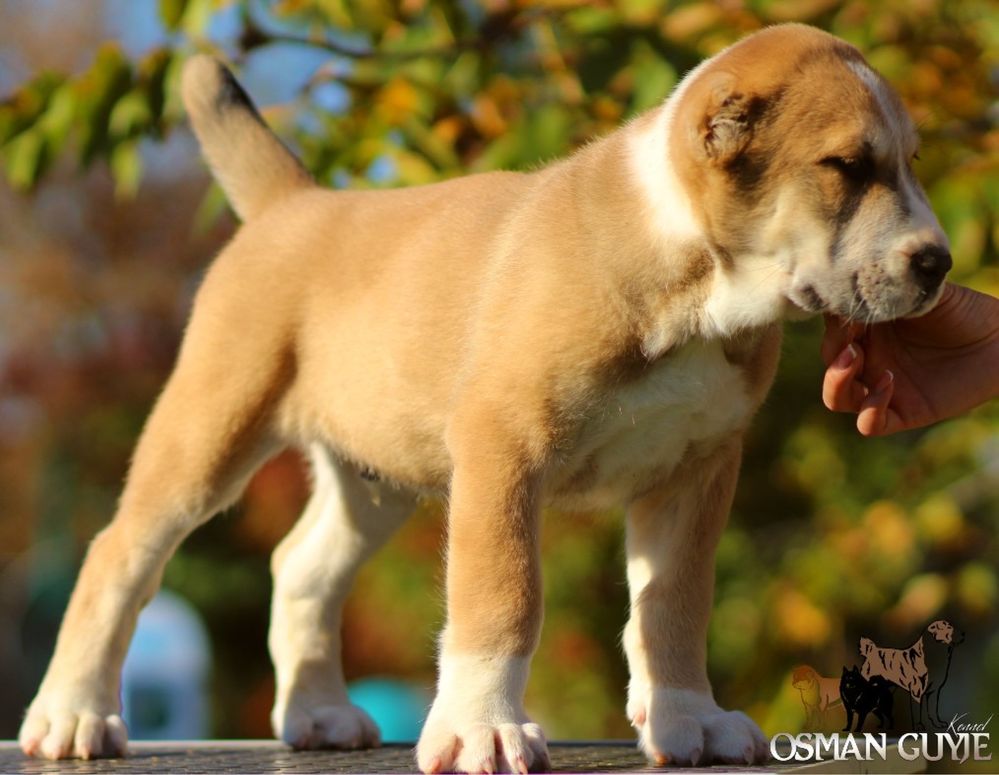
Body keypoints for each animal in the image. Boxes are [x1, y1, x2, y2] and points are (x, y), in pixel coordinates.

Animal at [19, 21, 948, 772]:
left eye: (909, 164)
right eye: (845, 168)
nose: (936, 261)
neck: (692, 278)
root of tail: (296, 204)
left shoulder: (695, 472)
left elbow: (674, 604)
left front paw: (689, 714)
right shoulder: (504, 452)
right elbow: (503, 593)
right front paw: (482, 729)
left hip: (373, 476)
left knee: (301, 569)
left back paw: (316, 712)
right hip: (208, 433)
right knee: (118, 556)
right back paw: (72, 714)